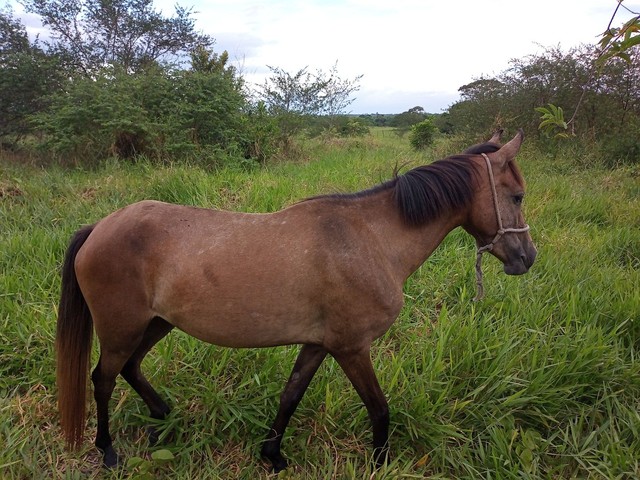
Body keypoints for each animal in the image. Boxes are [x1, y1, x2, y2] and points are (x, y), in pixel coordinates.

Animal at [56, 129, 536, 470]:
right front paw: (380, 461)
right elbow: (380, 409)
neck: (372, 239)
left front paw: (272, 455)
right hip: (121, 328)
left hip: (157, 323)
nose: (526, 258)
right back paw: (107, 450)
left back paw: (163, 416)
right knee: (103, 378)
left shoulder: (318, 344)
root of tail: (99, 228)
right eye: (517, 196)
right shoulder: (351, 348)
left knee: (131, 369)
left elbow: (290, 396)